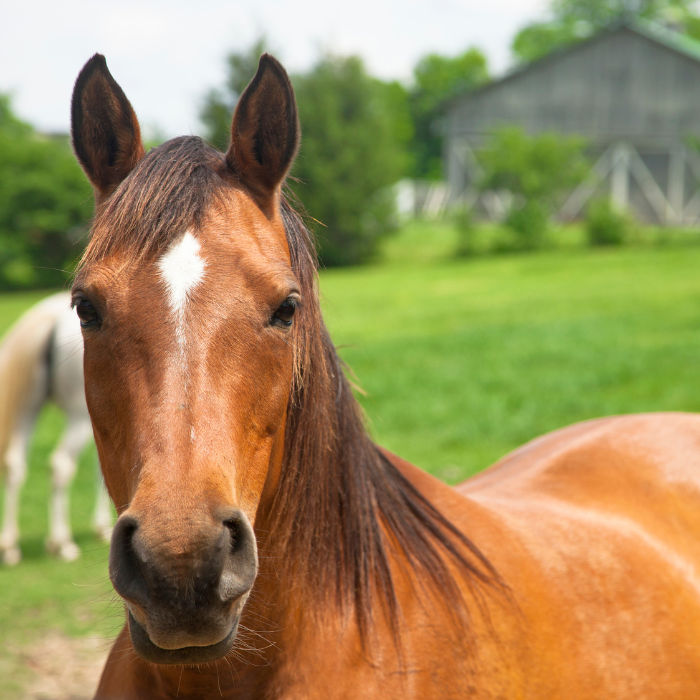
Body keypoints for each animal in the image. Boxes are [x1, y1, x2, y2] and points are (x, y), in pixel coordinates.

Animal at [0, 293, 112, 565]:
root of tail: (50, 317)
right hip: (79, 416)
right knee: (60, 465)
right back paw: (61, 543)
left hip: (28, 408)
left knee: (14, 464)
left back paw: (10, 547)